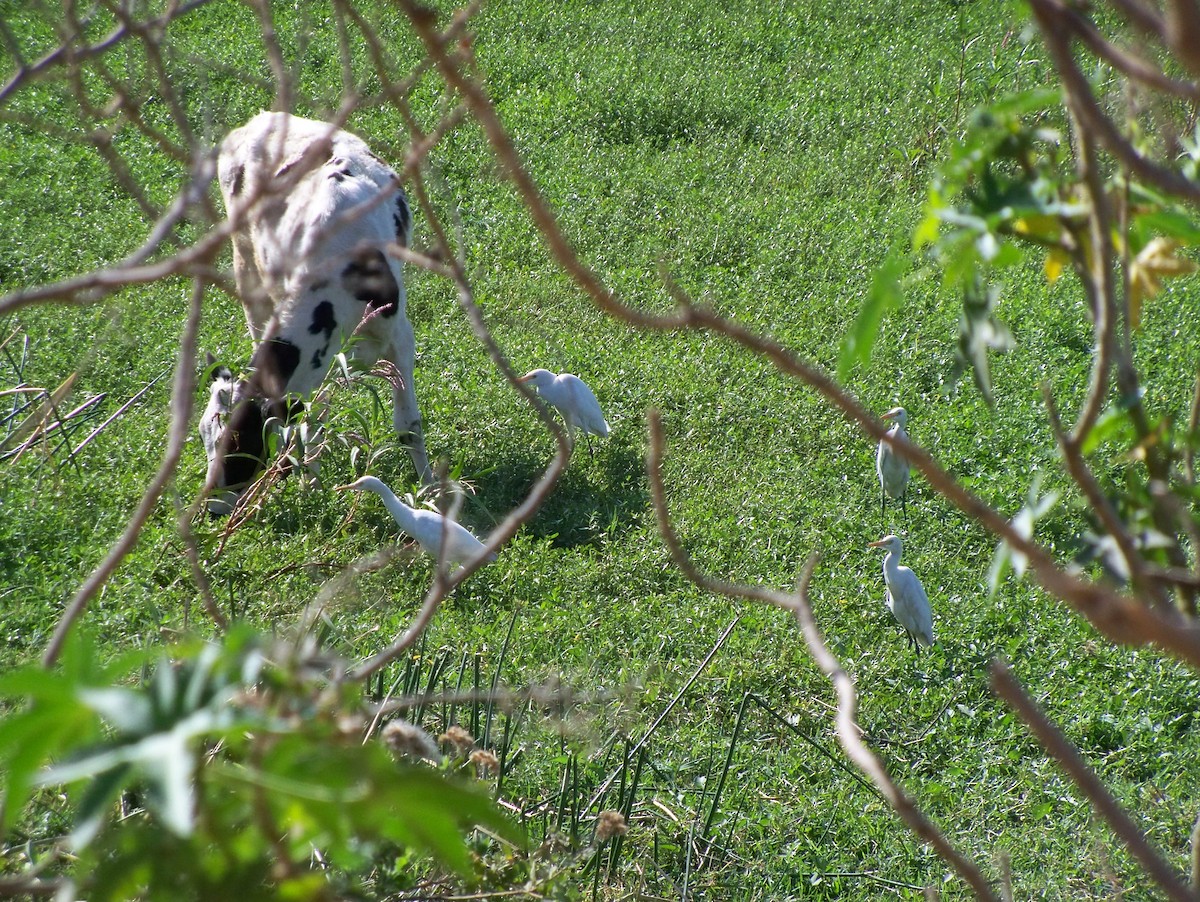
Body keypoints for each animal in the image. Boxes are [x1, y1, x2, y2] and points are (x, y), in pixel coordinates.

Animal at [204, 114, 434, 513]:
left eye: (236, 443)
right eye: (205, 437)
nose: (212, 509)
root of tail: (260, 120)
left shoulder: (399, 338)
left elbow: (409, 427)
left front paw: (431, 491)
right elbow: (310, 422)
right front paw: (310, 486)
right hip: (246, 264)